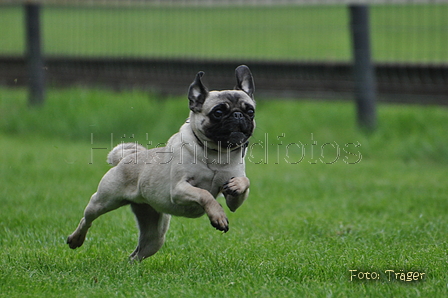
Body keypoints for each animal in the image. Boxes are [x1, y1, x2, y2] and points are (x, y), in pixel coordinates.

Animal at [66, 64, 256, 260]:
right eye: (218, 112)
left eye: (250, 111)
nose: (238, 115)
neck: (217, 153)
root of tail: (127, 157)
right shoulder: (179, 189)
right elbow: (204, 194)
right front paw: (217, 215)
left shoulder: (233, 201)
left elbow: (244, 183)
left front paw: (237, 185)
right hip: (102, 201)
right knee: (86, 219)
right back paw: (75, 239)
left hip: (154, 235)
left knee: (136, 255)